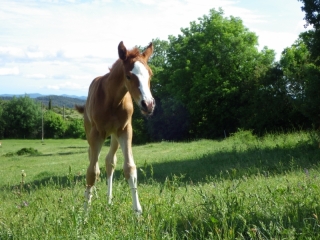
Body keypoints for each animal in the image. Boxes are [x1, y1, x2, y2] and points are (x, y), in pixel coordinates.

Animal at [75, 41, 155, 214]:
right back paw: (95, 195)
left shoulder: (125, 130)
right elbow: (91, 172)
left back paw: (109, 200)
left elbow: (130, 168)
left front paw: (138, 212)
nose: (148, 105)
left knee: (109, 161)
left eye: (150, 74)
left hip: (114, 136)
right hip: (90, 131)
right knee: (92, 159)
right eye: (129, 76)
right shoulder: (96, 133)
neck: (112, 100)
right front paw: (84, 213)